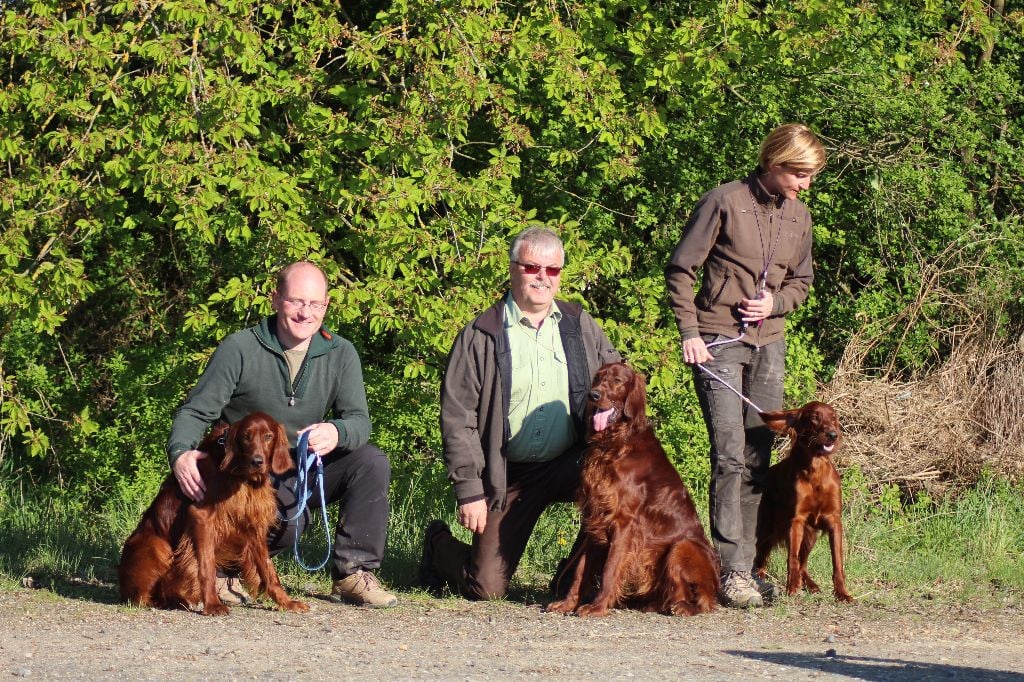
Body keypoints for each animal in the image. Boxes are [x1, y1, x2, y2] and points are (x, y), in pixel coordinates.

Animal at [117, 411, 305, 614]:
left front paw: (286, 602)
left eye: (268, 436)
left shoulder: (253, 522)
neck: (239, 475)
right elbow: (207, 566)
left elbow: (268, 569)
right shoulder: (202, 517)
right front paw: (213, 604)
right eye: (246, 436)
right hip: (157, 546)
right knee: (141, 597)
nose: (257, 461)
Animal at [548, 360, 716, 614]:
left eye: (618, 381)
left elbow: (609, 569)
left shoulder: (623, 522)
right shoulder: (595, 517)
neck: (614, 444)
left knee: (700, 601)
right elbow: (580, 570)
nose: (593, 395)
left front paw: (597, 607)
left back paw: (682, 607)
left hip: (682, 547)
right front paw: (568, 603)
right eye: (598, 378)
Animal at [753, 399, 856, 602]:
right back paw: (760, 576)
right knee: (762, 556)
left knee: (803, 563)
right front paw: (792, 588)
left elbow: (837, 562)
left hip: (810, 535)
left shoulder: (834, 521)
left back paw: (811, 584)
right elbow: (792, 558)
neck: (815, 471)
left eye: (834, 417)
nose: (833, 435)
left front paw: (842, 593)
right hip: (767, 528)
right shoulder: (796, 521)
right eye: (814, 417)